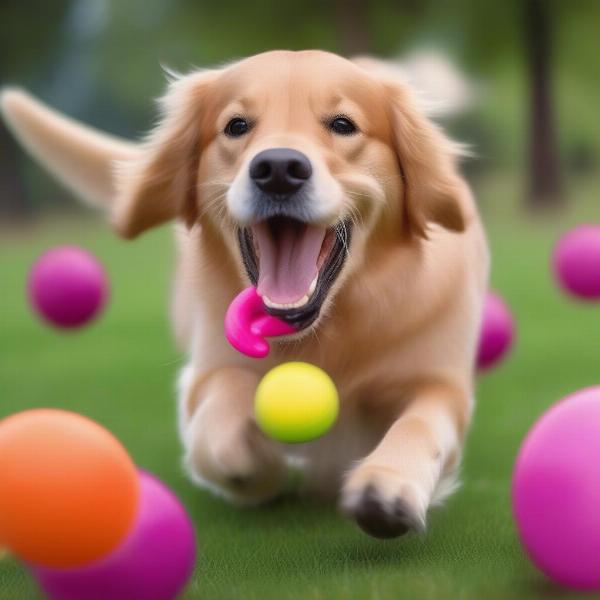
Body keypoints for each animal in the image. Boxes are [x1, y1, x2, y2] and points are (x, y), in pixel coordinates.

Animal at [0, 51, 488, 540]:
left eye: (343, 124)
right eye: (236, 126)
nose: (278, 169)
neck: (326, 334)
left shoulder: (441, 383)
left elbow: (420, 424)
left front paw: (387, 484)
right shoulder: (206, 370)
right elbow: (219, 413)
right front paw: (253, 461)